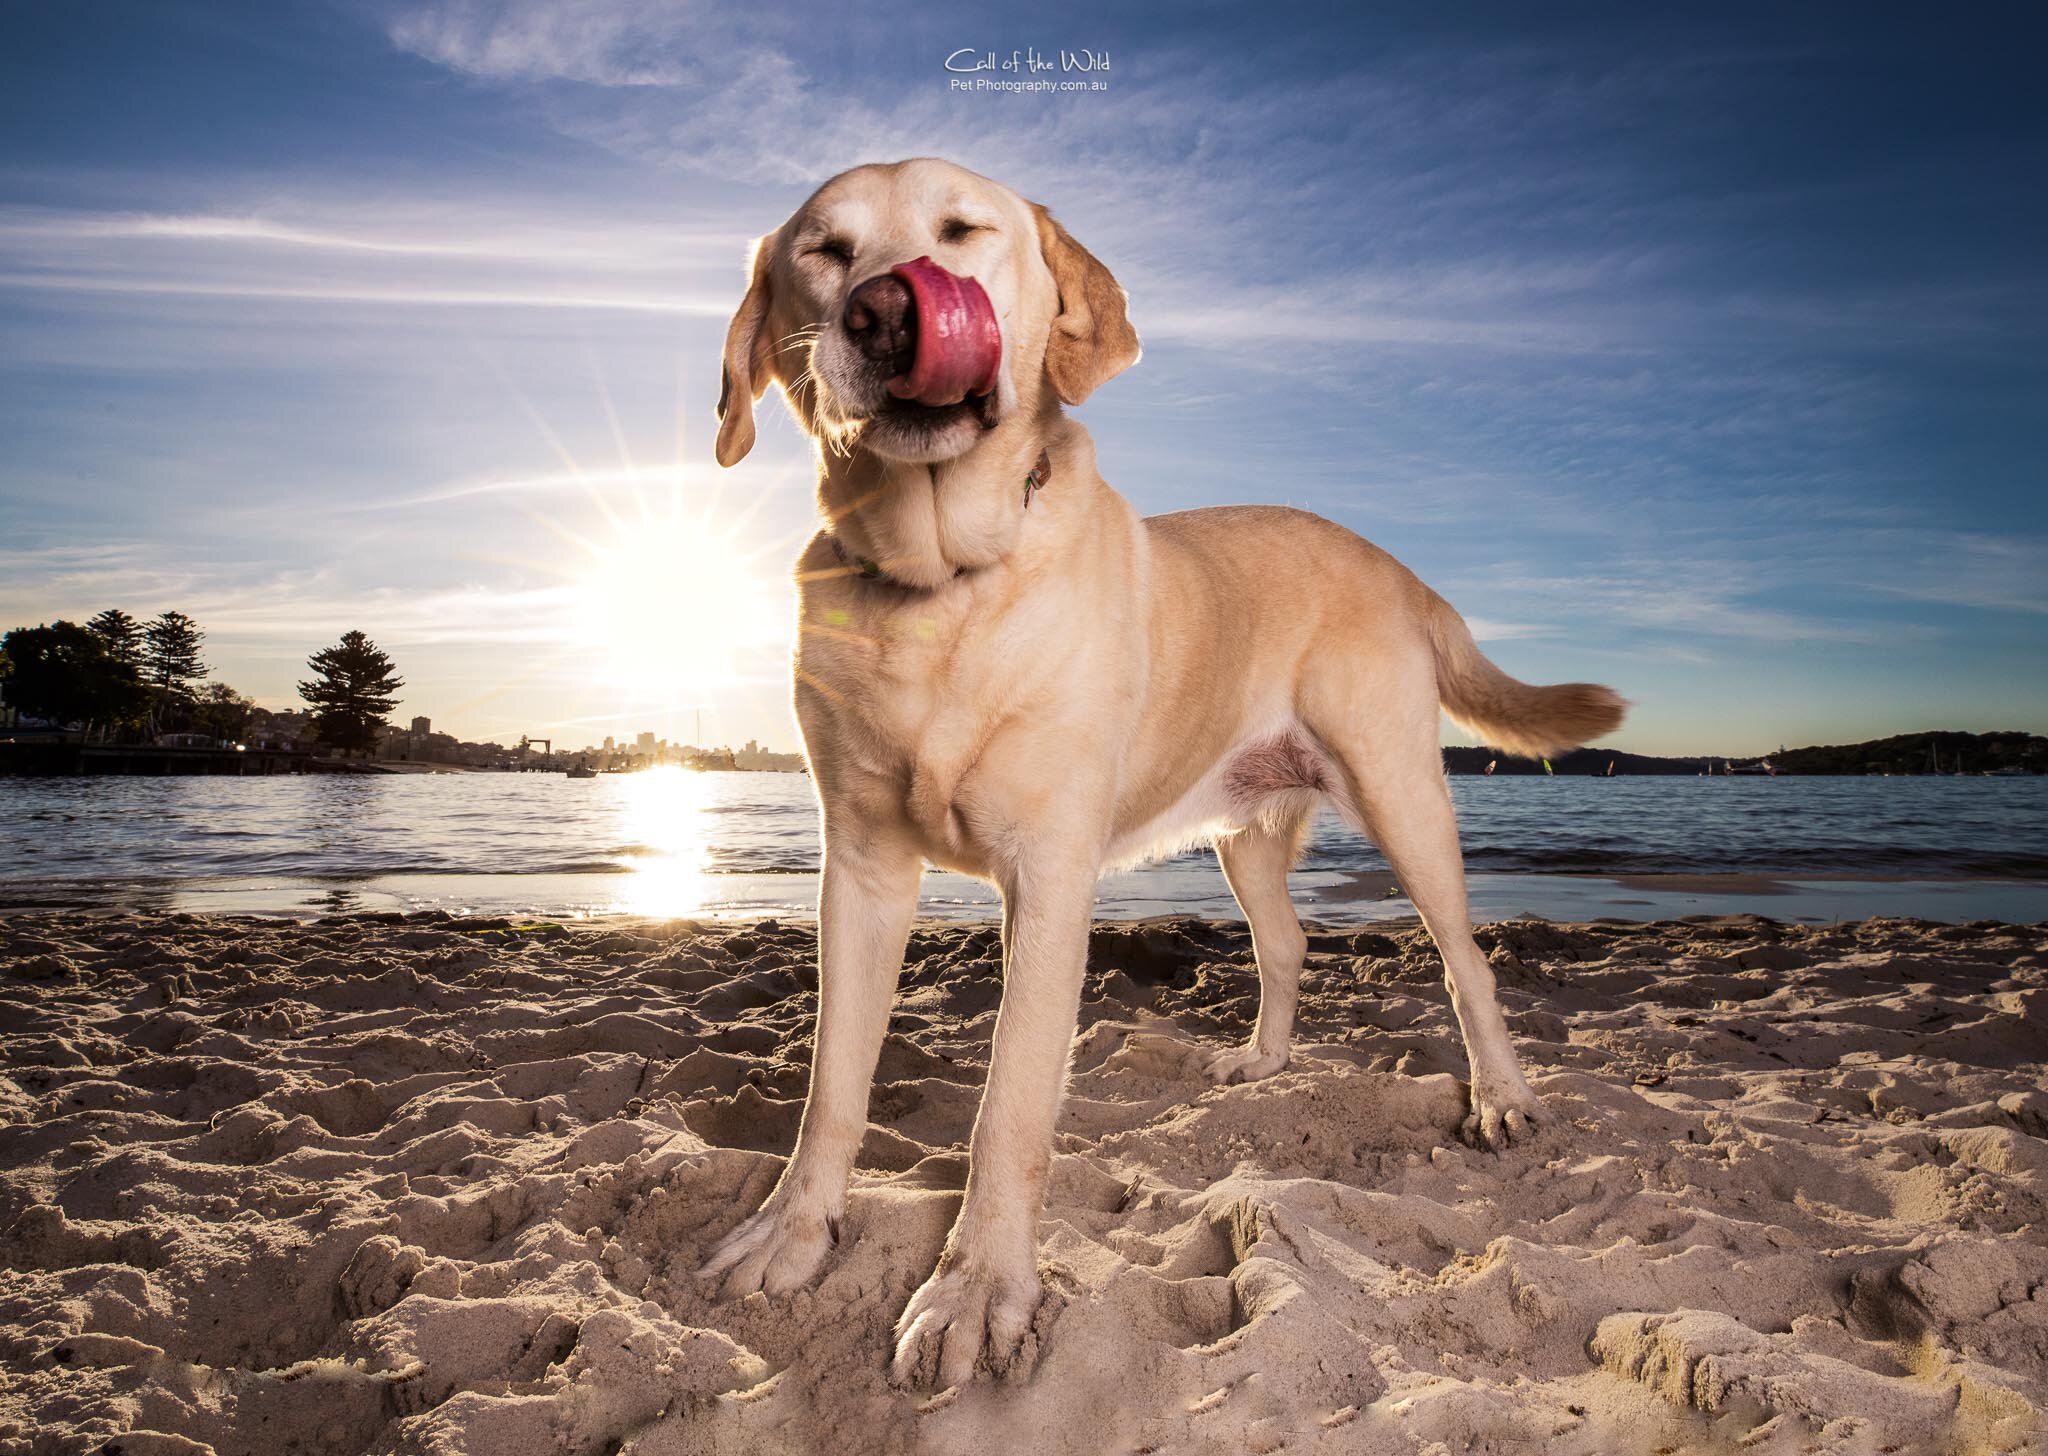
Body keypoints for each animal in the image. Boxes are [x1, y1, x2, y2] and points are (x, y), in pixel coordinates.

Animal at [696, 156, 1622, 1392]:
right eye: (824, 252)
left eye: (961, 230)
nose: (885, 309)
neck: (941, 590)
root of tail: (1392, 559)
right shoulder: (860, 872)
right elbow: (831, 1085)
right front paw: (794, 1233)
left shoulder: (1048, 879)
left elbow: (1008, 1112)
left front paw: (976, 1289)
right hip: (1245, 834)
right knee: (1287, 941)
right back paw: (1264, 1062)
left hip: (1401, 797)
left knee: (1465, 959)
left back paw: (1504, 1098)